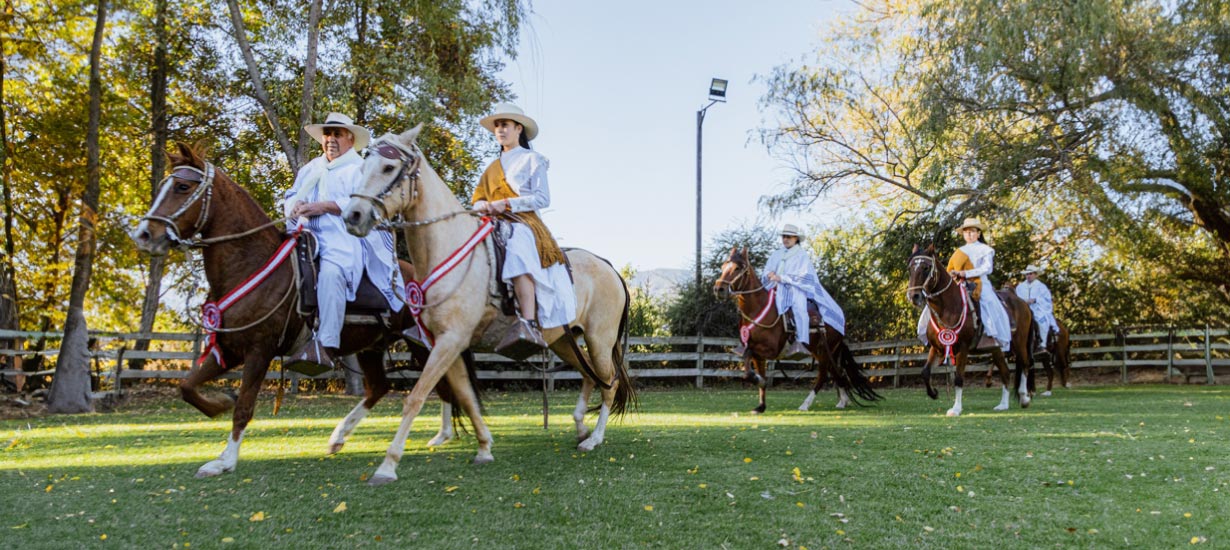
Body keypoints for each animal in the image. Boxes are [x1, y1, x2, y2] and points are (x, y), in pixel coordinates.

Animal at [130, 143, 479, 479]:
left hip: (423, 342)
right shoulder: (229, 350)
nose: (144, 235)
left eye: (182, 186)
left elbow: (244, 407)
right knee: (381, 386)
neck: (251, 264)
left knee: (439, 381)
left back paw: (443, 434)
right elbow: (187, 387)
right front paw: (219, 405)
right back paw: (340, 437)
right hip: (372, 346)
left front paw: (224, 460)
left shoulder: (259, 350)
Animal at [718, 248, 880, 413]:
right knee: (837, 373)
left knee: (824, 375)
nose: (719, 288)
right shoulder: (758, 354)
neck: (759, 309)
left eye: (737, 268)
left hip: (824, 352)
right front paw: (761, 405)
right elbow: (752, 366)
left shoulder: (771, 350)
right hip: (825, 352)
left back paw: (805, 404)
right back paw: (842, 401)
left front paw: (758, 382)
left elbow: (749, 359)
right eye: (723, 266)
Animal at [905, 246, 1038, 418]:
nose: (913, 296)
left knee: (1025, 365)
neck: (949, 307)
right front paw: (934, 393)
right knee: (1005, 372)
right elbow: (925, 372)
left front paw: (956, 408)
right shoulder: (937, 347)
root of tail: (1022, 302)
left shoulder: (963, 348)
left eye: (926, 268)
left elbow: (959, 378)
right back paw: (1003, 404)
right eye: (910, 268)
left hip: (1019, 343)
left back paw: (1024, 398)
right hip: (996, 349)